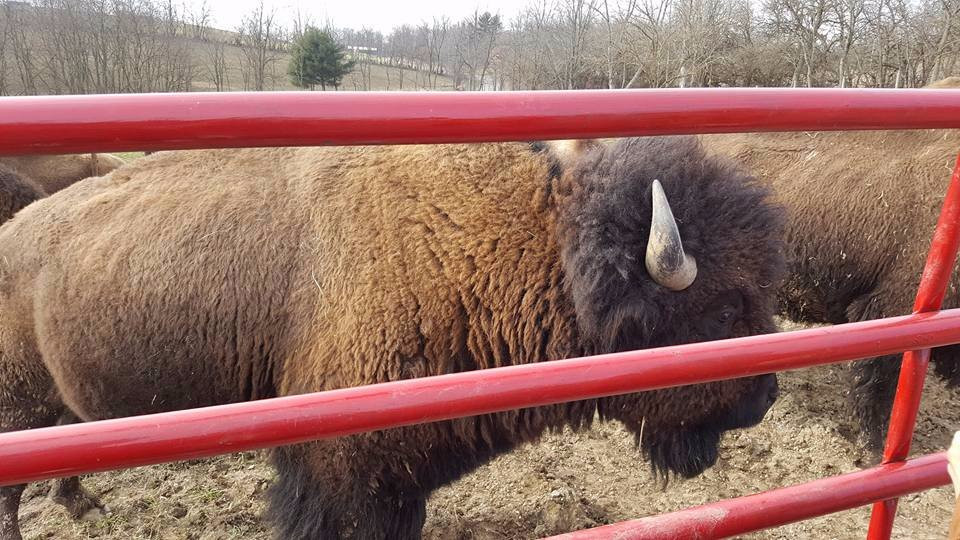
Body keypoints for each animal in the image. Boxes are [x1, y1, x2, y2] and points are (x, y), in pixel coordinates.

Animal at [0, 136, 785, 539]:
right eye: (723, 313)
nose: (766, 397)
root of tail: (16, 234)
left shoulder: (396, 480)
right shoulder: (340, 475)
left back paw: (80, 504)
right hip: (17, 406)